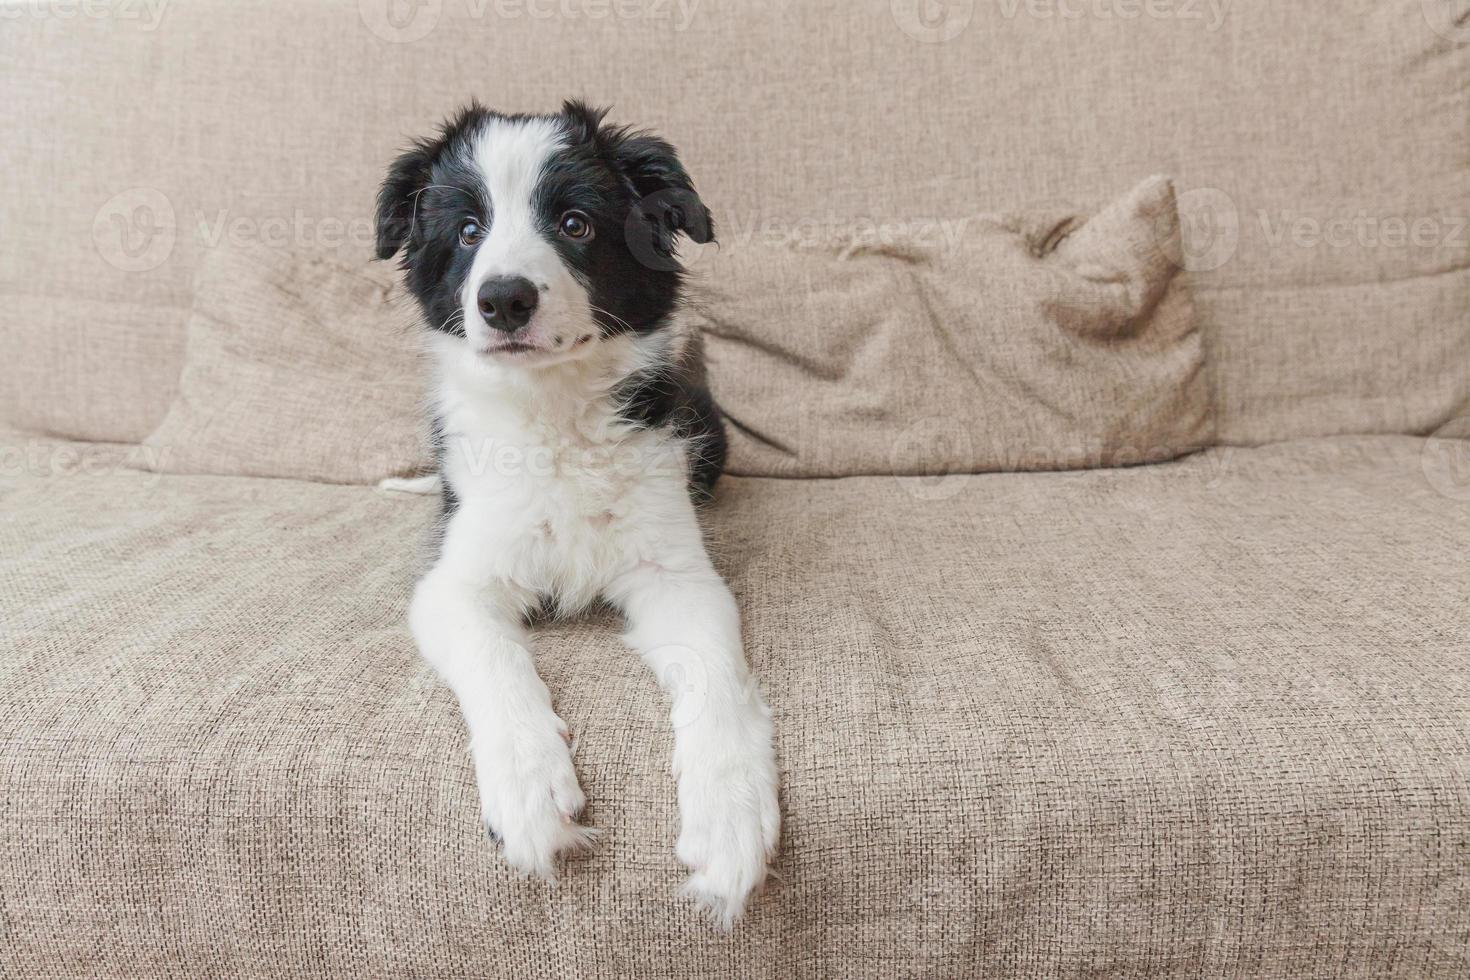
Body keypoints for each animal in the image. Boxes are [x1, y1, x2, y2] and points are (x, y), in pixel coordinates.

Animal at [376, 103, 782, 934]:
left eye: (574, 222)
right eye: (468, 230)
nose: (503, 300)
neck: (556, 415)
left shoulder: (677, 574)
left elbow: (716, 674)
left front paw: (729, 818)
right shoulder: (453, 584)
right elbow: (497, 660)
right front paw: (531, 794)